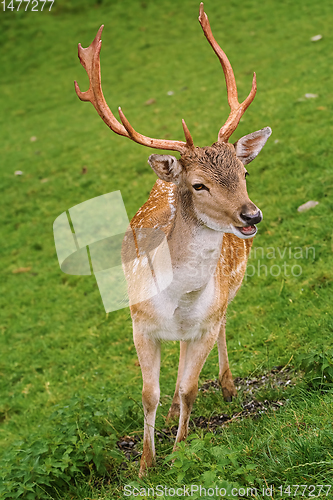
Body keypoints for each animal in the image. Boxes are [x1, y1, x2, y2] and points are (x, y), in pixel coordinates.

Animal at [74, 0, 270, 476]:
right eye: (199, 185)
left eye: (244, 172)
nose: (251, 215)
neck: (178, 299)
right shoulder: (139, 324)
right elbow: (149, 394)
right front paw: (146, 465)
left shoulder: (203, 324)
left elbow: (188, 388)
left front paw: (180, 452)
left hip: (224, 300)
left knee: (217, 335)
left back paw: (227, 386)